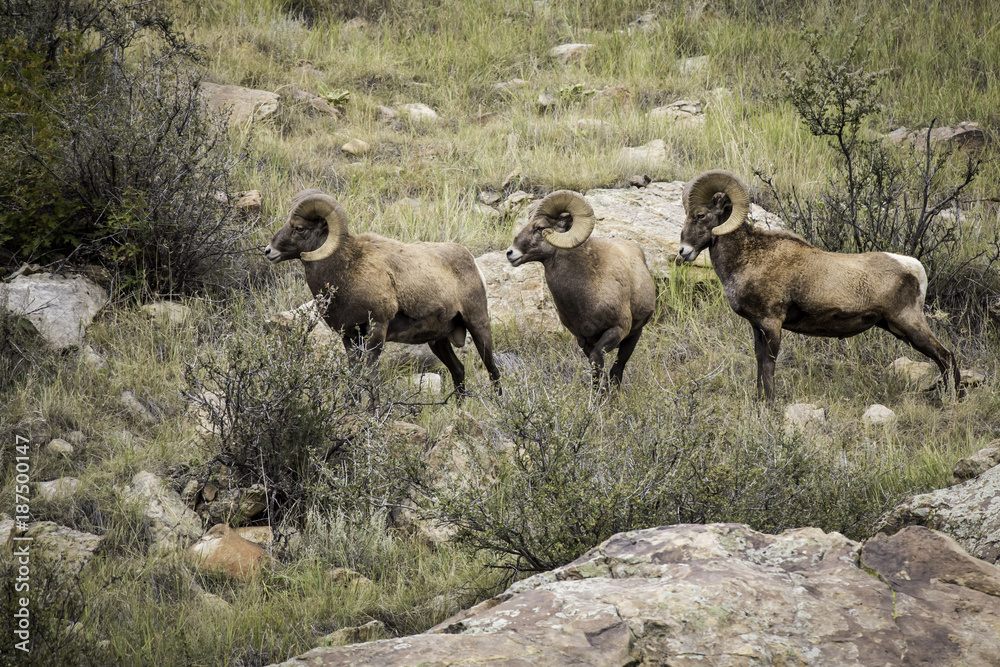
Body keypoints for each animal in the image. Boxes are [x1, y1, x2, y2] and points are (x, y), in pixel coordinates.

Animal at [264, 189, 501, 396]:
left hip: (478, 325)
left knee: (493, 370)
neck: (347, 271)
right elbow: (354, 377)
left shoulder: (376, 331)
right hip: (438, 340)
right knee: (458, 371)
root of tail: (470, 260)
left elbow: (371, 379)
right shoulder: (349, 338)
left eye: (299, 228)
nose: (268, 251)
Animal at [506, 190, 656, 387]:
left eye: (540, 227)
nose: (510, 253)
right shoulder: (583, 339)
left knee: (618, 370)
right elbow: (594, 369)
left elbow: (598, 361)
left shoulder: (617, 330)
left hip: (633, 336)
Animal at [677, 169, 960, 402]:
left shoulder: (771, 324)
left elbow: (768, 366)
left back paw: (953, 399)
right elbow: (759, 364)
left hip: (909, 323)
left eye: (701, 215)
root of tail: (914, 268)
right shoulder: (758, 327)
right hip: (897, 327)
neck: (750, 258)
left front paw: (769, 404)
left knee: (945, 356)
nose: (683, 251)